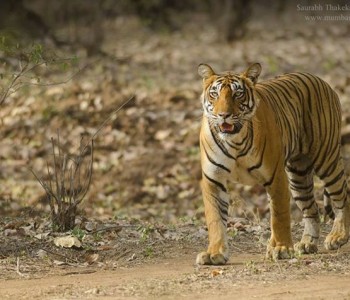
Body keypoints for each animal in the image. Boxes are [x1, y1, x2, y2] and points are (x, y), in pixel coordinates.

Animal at [196, 62, 350, 264]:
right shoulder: (213, 179)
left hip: (326, 159)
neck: (234, 141)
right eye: (214, 94)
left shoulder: (275, 176)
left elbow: (279, 215)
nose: (223, 115)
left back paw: (338, 236)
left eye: (238, 94)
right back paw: (307, 244)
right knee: (312, 209)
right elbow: (215, 219)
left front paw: (282, 248)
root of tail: (322, 80)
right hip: (298, 176)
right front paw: (215, 253)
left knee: (342, 197)